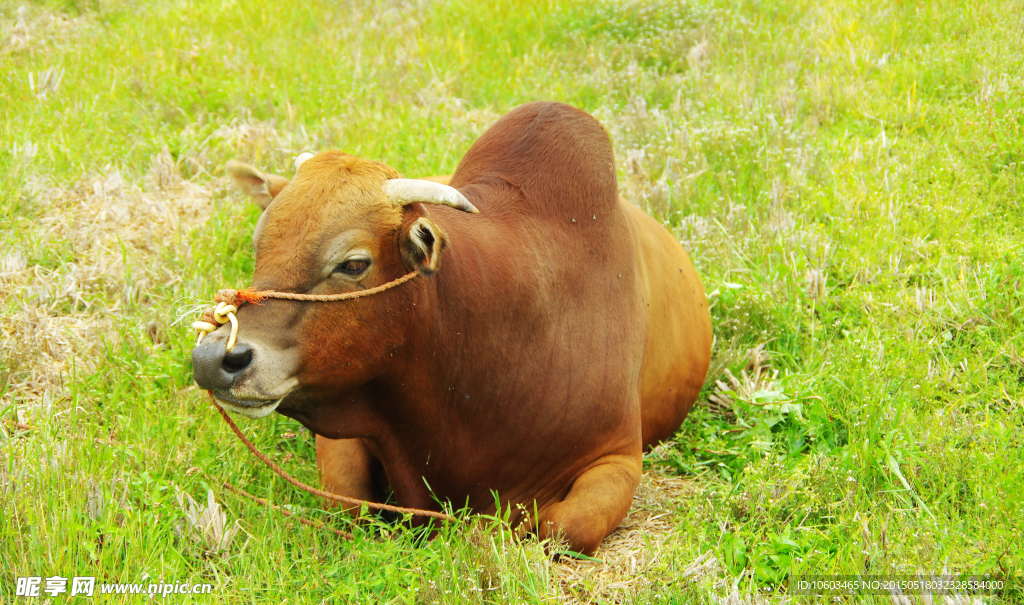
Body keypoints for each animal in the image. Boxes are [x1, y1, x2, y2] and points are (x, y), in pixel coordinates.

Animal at [192, 101, 708, 556]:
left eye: (354, 263)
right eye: (259, 244)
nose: (213, 358)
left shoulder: (617, 455)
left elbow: (563, 528)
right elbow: (351, 504)